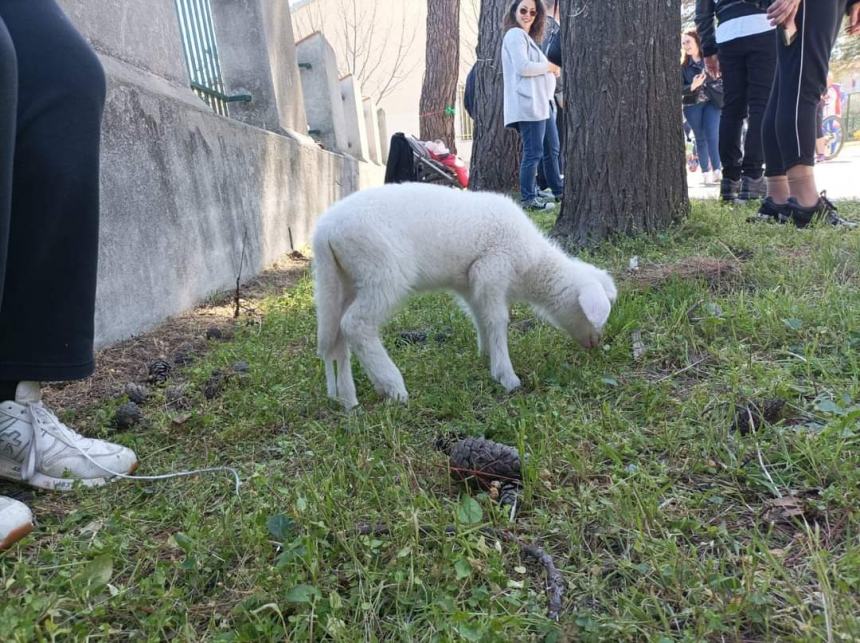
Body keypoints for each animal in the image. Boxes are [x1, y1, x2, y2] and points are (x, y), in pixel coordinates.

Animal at [312, 184, 616, 410]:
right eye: (586, 313)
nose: (596, 343)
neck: (531, 265)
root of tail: (325, 232)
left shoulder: (470, 282)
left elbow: (480, 316)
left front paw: (486, 353)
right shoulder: (492, 269)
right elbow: (497, 320)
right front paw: (506, 375)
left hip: (341, 279)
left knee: (335, 337)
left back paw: (346, 398)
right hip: (381, 271)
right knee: (356, 325)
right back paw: (393, 386)